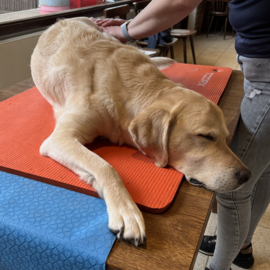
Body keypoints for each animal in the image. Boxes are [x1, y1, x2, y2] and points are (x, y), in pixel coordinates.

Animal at [31, 16, 251, 245]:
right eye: (205, 136)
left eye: (226, 138)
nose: (247, 176)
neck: (125, 88)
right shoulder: (60, 138)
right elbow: (105, 167)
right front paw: (126, 212)